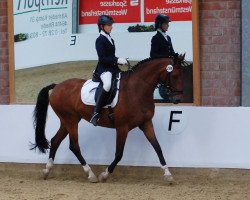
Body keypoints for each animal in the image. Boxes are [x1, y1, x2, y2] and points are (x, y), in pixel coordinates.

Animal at [31, 54, 185, 183]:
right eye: (175, 75)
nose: (178, 99)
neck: (136, 90)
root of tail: (57, 86)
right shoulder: (122, 127)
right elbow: (119, 154)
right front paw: (104, 175)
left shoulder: (146, 123)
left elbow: (158, 148)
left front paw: (168, 174)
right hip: (71, 121)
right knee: (74, 146)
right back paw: (91, 175)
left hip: (67, 121)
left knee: (55, 141)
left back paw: (46, 171)